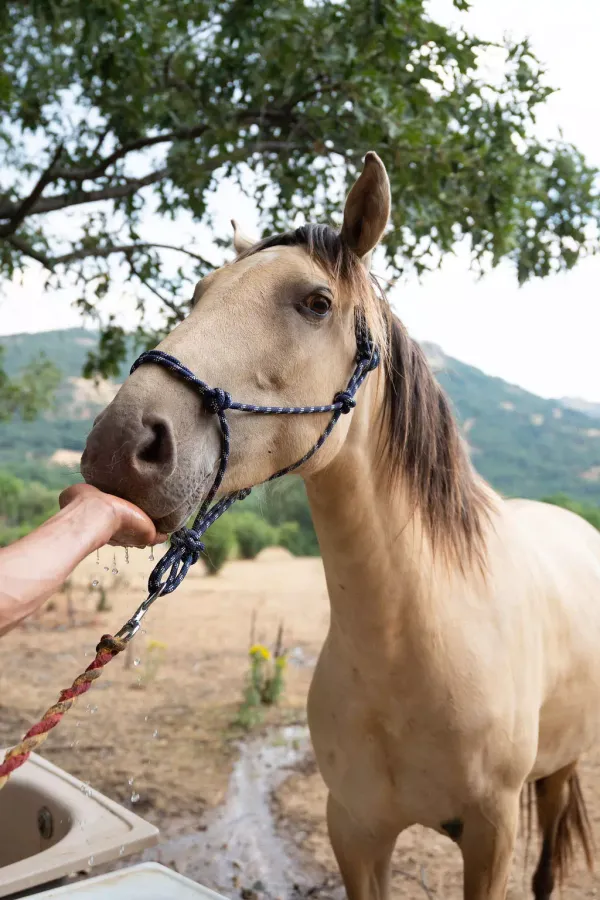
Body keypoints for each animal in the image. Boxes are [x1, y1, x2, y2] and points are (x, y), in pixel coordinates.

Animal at [81, 151, 600, 899]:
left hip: (561, 769)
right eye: (198, 293)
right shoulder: (353, 832)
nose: (119, 446)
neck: (413, 647)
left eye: (315, 302)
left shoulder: (491, 837)